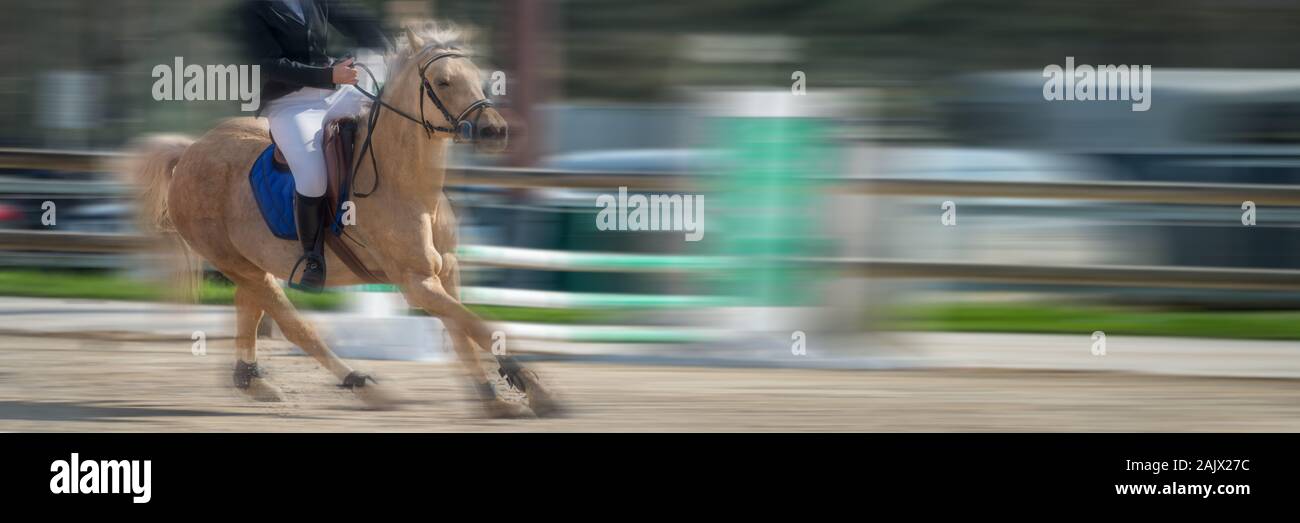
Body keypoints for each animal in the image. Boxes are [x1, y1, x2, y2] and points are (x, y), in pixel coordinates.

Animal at [126, 26, 559, 416]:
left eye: (477, 77)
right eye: (443, 81)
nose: (494, 131)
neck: (409, 184)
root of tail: (189, 152)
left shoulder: (445, 271)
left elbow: (465, 330)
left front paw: (495, 398)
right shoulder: (416, 282)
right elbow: (476, 326)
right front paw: (535, 390)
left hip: (253, 263)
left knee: (250, 306)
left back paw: (253, 382)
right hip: (233, 261)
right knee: (294, 325)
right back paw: (364, 387)